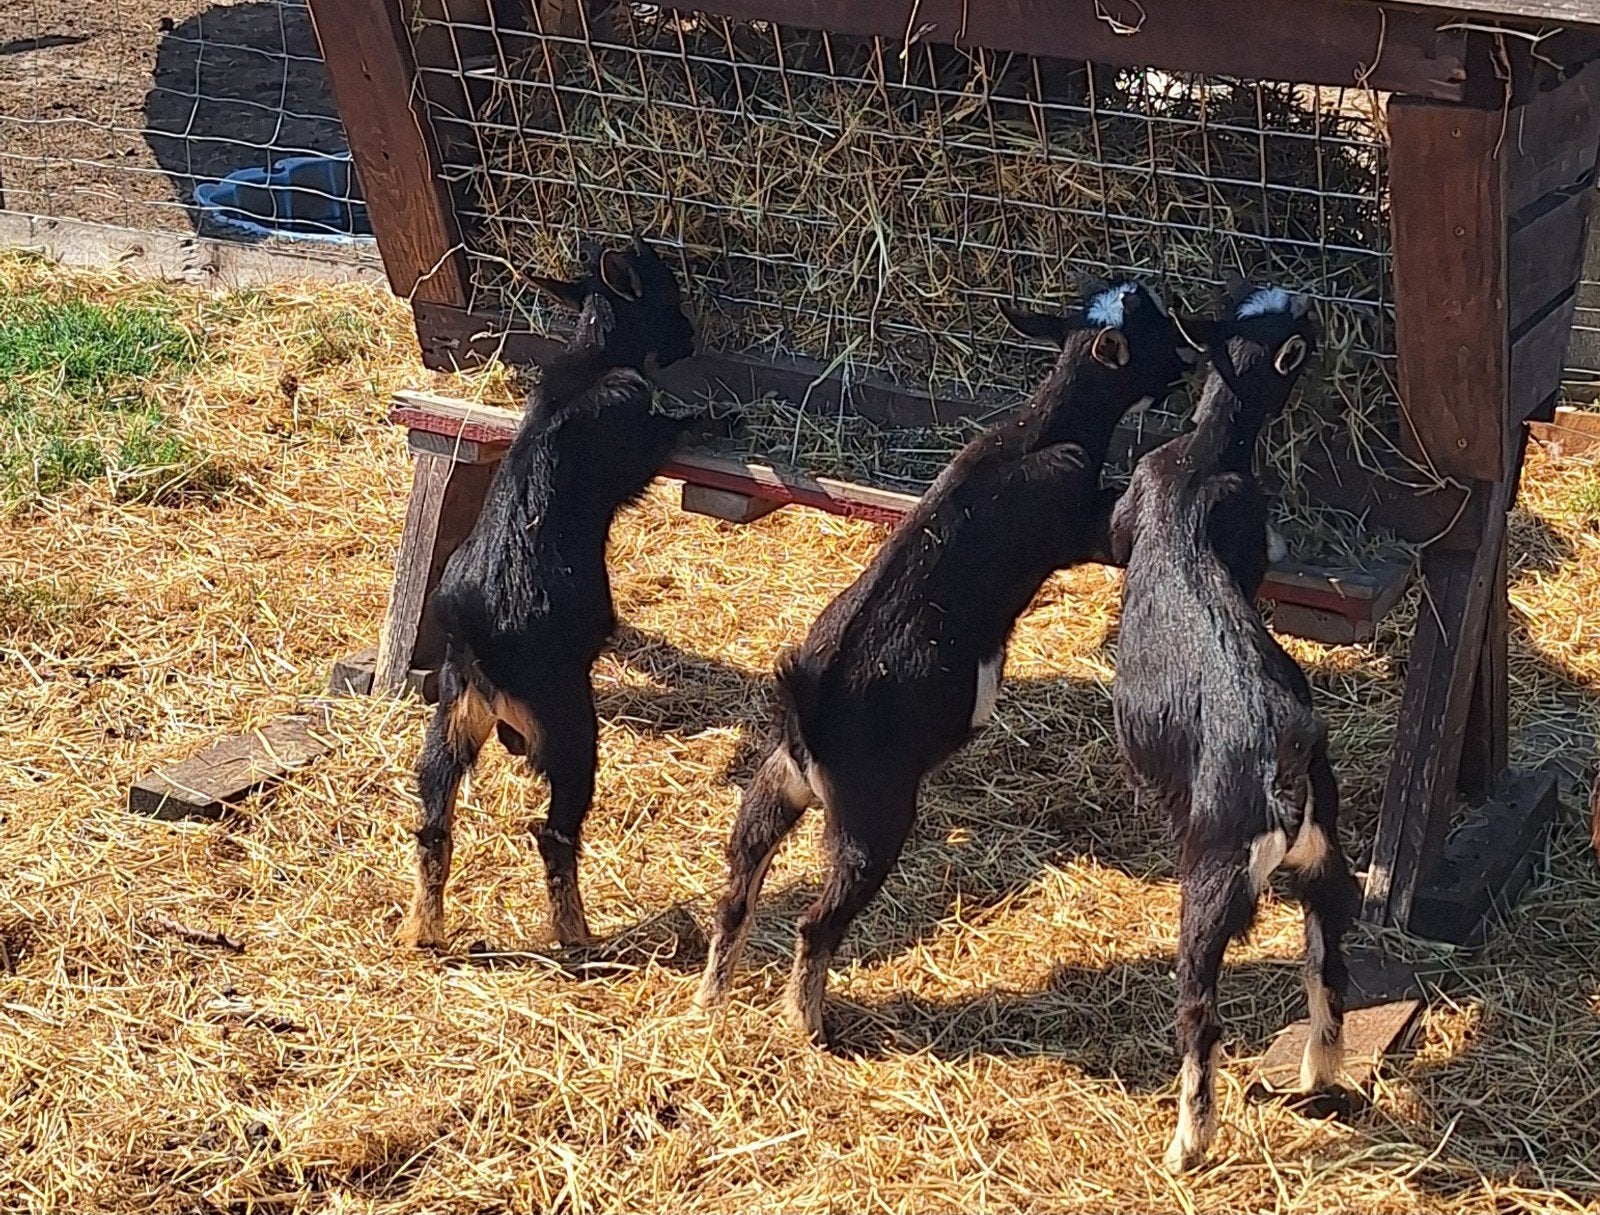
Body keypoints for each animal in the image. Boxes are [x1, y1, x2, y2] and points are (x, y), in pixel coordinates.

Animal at [400, 237, 699, 951]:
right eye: (668, 295)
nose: (692, 337)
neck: (592, 360)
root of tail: (479, 644)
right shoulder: (636, 428)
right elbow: (670, 430)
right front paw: (717, 415)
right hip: (569, 729)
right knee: (554, 832)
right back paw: (577, 934)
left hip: (452, 721)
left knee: (433, 824)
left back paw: (424, 929)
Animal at [695, 282, 1196, 1039]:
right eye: (1157, 329)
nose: (1194, 358)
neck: (1041, 430)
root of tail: (810, 720)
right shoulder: (1080, 520)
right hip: (872, 820)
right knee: (817, 923)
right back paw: (809, 1025)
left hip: (774, 786)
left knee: (736, 888)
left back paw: (709, 1000)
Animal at [1108, 282, 1358, 1173]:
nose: (1315, 306)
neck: (1201, 462)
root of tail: (1283, 772)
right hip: (1325, 861)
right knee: (1327, 957)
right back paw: (1318, 1074)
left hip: (1213, 881)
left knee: (1201, 1011)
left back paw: (1188, 1143)